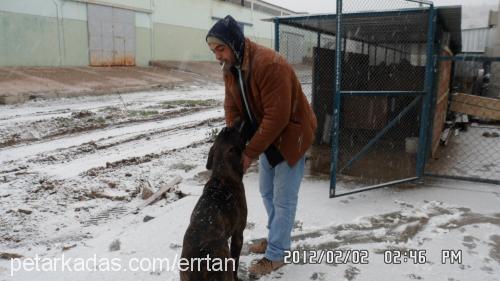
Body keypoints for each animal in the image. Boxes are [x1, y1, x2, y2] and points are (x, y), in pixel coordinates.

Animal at [182, 120, 248, 280]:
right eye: (234, 130)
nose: (238, 120)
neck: (222, 176)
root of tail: (199, 262)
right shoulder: (238, 234)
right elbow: (236, 261)